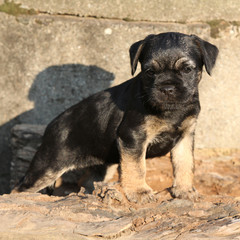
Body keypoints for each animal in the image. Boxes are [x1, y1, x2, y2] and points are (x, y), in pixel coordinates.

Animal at [13, 32, 219, 202]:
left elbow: (185, 163)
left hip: (101, 165)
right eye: (150, 72)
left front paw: (184, 190)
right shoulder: (133, 137)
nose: (167, 88)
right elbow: (137, 167)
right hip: (49, 165)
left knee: (86, 180)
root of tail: (51, 127)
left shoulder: (185, 137)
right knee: (19, 188)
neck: (171, 111)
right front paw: (139, 192)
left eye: (187, 70)